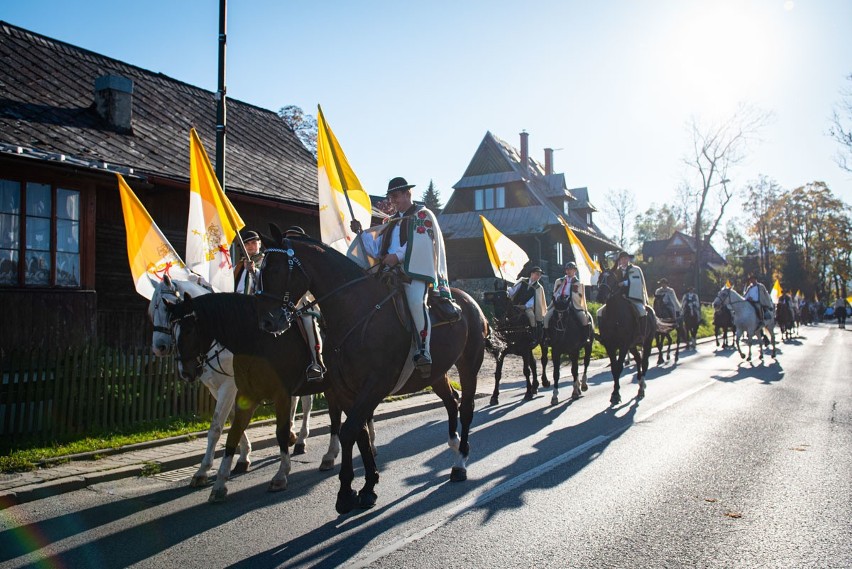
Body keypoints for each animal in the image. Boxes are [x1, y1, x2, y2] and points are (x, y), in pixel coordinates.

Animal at [148, 274, 318, 484]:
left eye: (165, 310)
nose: (158, 347)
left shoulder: (229, 386)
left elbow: (216, 427)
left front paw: (203, 470)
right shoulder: (216, 387)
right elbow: (231, 421)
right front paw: (243, 457)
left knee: (307, 403)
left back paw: (301, 439)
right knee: (295, 402)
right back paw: (293, 435)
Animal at [165, 292, 354, 502]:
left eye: (189, 330)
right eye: (171, 331)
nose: (185, 372)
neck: (257, 342)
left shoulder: (273, 394)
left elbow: (278, 432)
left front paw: (281, 474)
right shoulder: (244, 395)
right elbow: (232, 433)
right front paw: (220, 481)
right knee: (338, 415)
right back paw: (330, 453)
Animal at [256, 232, 490, 516]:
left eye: (276, 270)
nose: (267, 322)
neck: (355, 312)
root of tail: (467, 301)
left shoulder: (375, 385)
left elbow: (349, 431)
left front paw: (347, 493)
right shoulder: (346, 390)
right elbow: (360, 435)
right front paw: (367, 486)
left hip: (469, 366)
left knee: (466, 408)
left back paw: (460, 463)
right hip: (436, 374)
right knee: (451, 401)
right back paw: (453, 444)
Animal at [596, 270, 656, 404]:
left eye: (612, 279)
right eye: (600, 278)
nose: (600, 296)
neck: (614, 315)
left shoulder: (623, 345)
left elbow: (619, 367)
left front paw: (616, 394)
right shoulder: (610, 346)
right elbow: (614, 368)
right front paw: (615, 392)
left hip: (647, 342)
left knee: (644, 362)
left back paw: (641, 388)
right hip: (632, 345)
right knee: (638, 359)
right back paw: (640, 381)